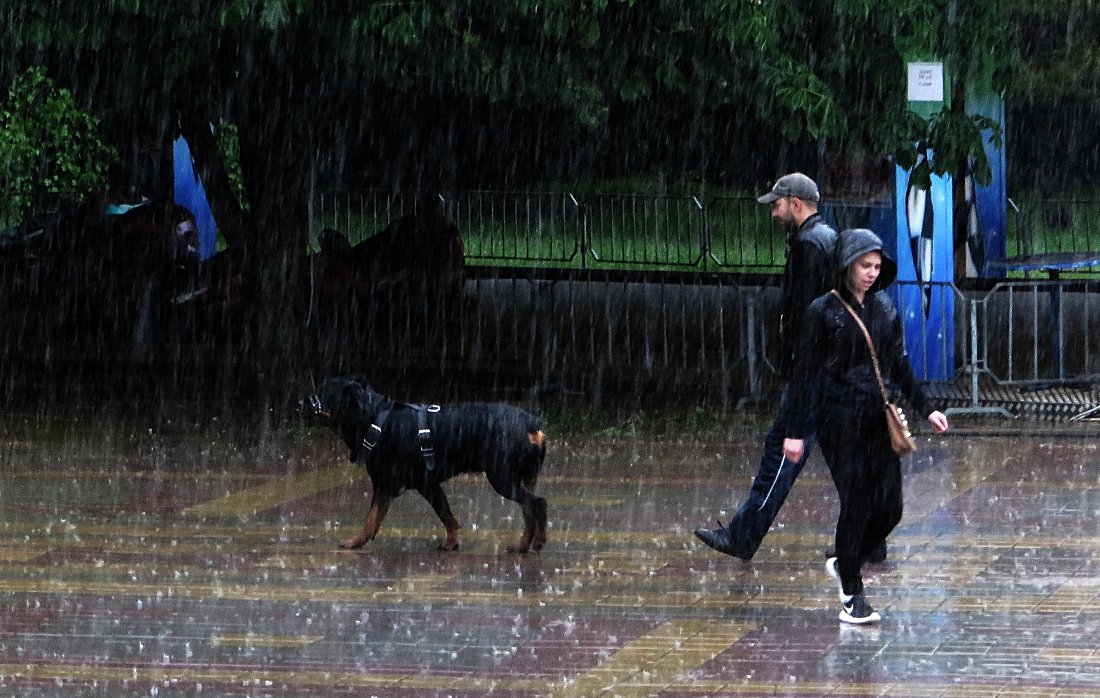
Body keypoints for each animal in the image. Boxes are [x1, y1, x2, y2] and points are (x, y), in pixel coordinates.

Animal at [303, 380, 547, 554]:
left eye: (322, 392)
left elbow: (441, 513)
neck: (375, 420)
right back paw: (522, 545)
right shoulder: (393, 485)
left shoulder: (420, 483)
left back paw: (539, 542)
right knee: (528, 510)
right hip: (525, 477)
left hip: (502, 477)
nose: (300, 403)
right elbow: (375, 518)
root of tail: (532, 425)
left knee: (538, 503)